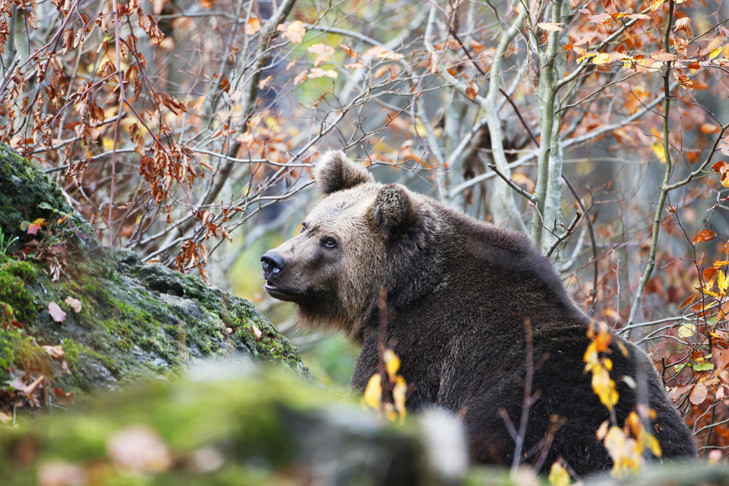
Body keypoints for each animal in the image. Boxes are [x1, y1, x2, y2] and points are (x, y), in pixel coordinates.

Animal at [260, 151, 692, 474]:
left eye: (331, 242)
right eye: (307, 224)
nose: (272, 261)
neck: (402, 289)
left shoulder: (417, 347)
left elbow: (382, 396)